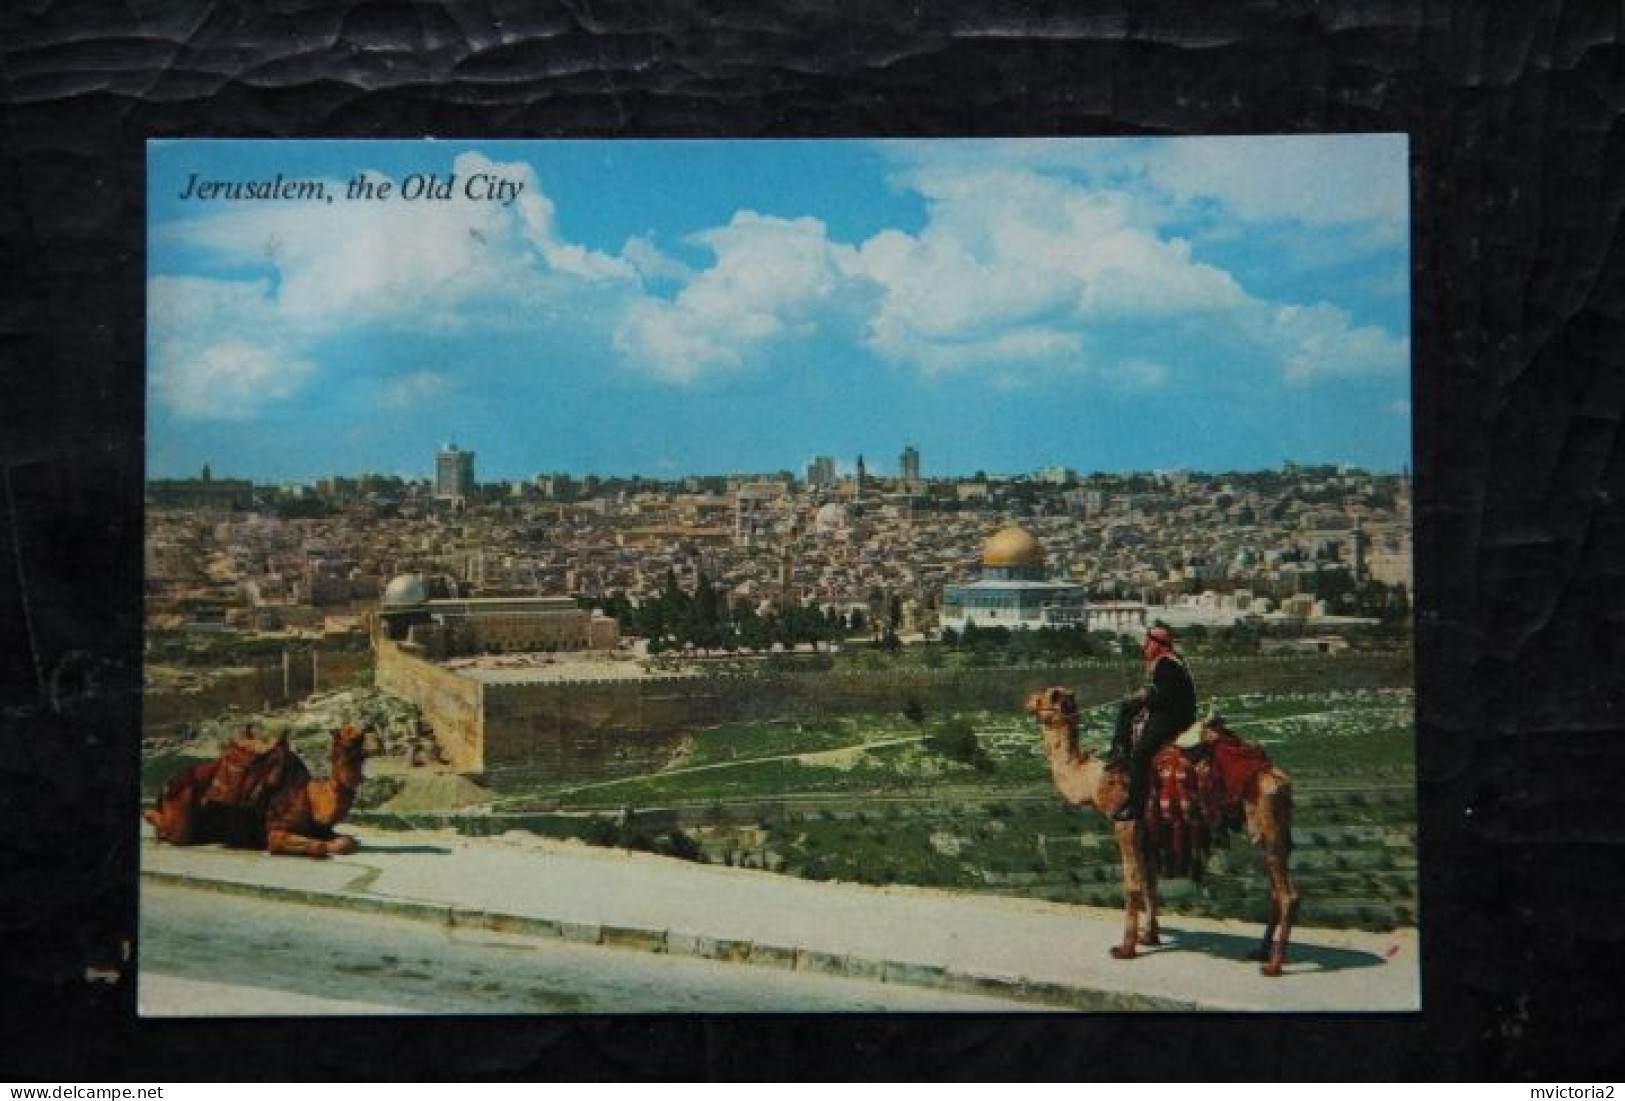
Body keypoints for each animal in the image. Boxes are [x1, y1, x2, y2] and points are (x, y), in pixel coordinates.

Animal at [1033, 685, 1300, 980]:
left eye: (1044, 696)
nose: (1027, 702)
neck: (1095, 780)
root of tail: (1280, 779)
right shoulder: (1149, 829)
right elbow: (1149, 882)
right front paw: (1149, 937)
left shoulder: (1125, 823)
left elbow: (1132, 885)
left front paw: (1125, 949)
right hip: (1270, 826)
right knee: (1275, 887)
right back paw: (1260, 952)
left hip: (1266, 814)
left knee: (1288, 894)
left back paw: (1273, 965)